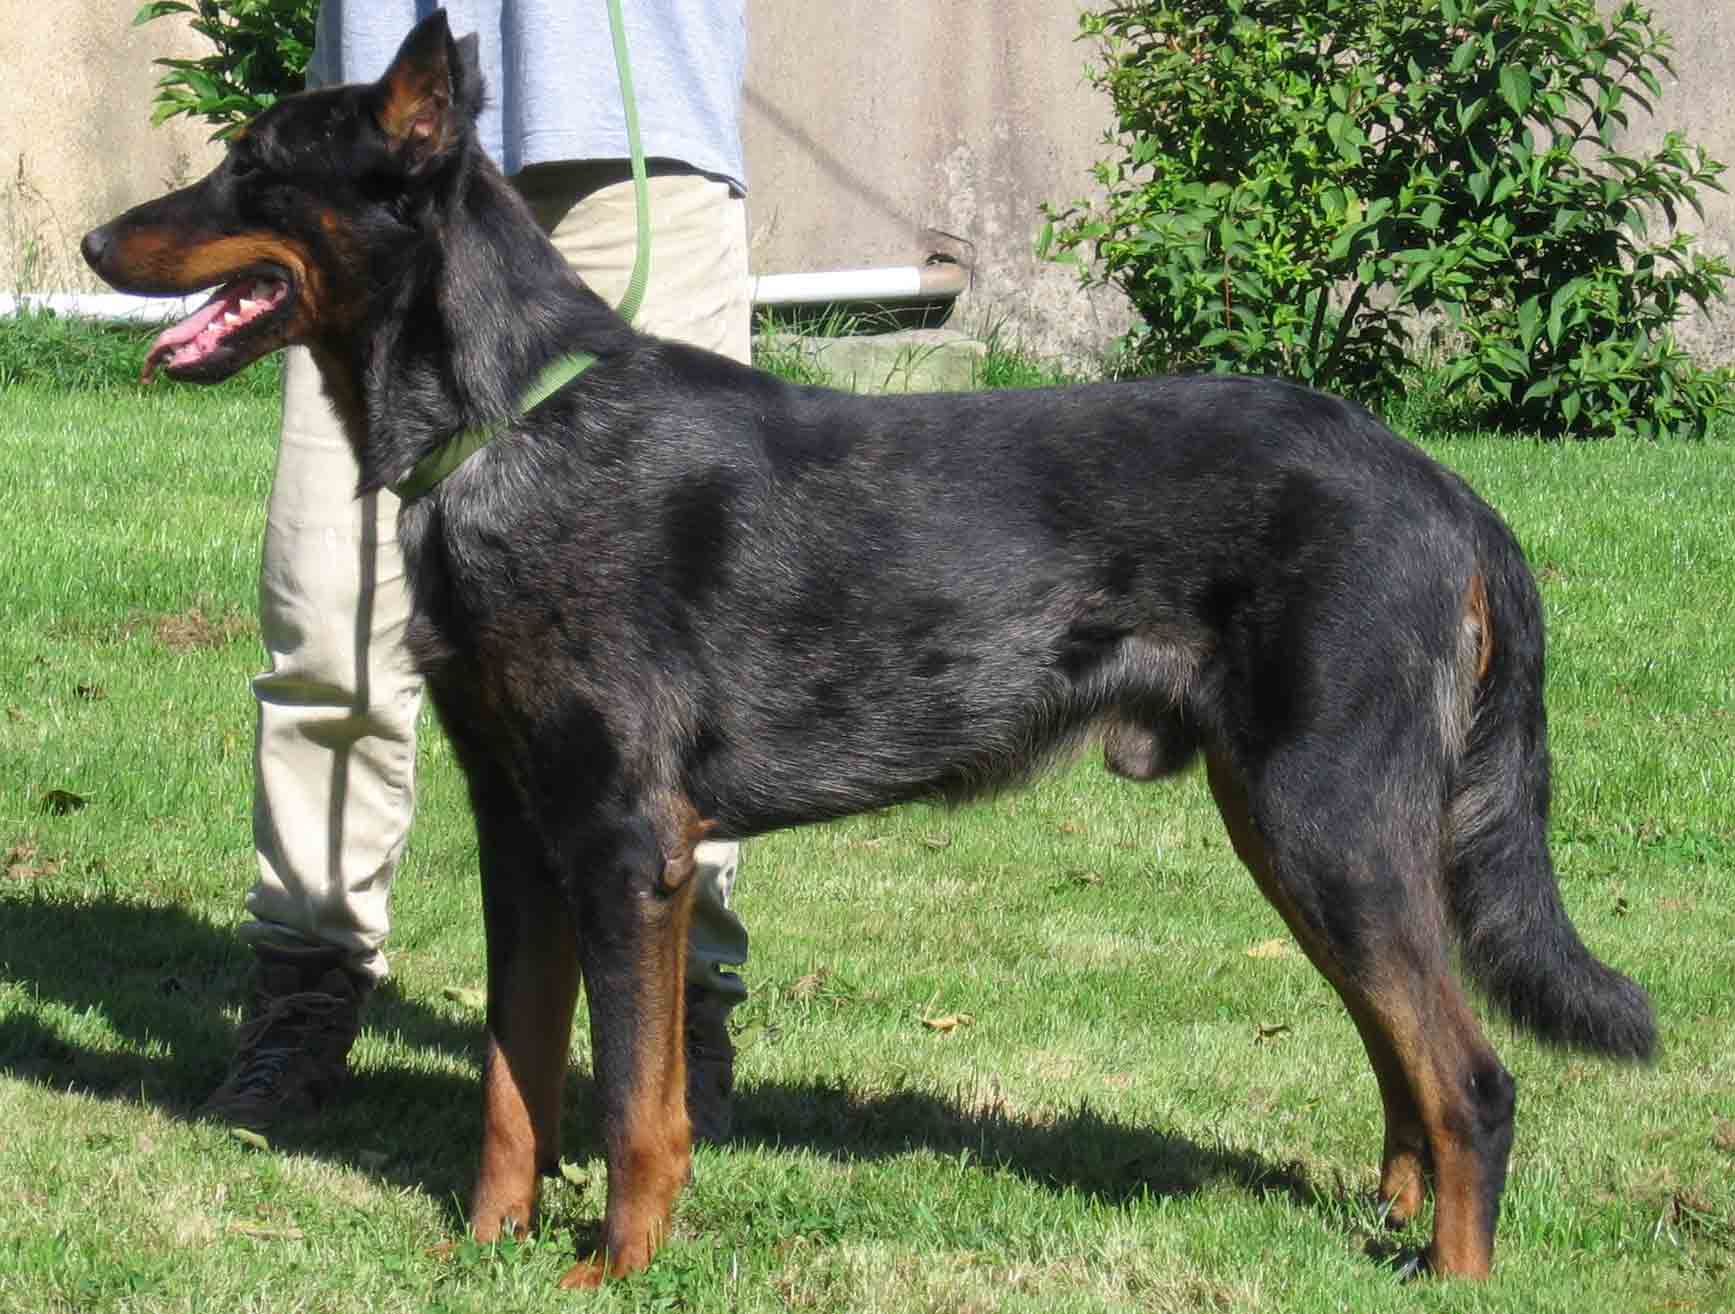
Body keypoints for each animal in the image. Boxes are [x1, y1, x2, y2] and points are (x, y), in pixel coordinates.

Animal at [84, 10, 1651, 1284]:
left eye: (253, 164)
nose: (94, 248)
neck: (507, 424)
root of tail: (1446, 490)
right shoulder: (520, 835)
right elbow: (512, 1085)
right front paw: (484, 1252)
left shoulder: (623, 846)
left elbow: (632, 1101)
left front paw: (617, 1269)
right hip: (1297, 830)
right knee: (1405, 1059)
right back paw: (1391, 1226)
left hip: (1322, 820)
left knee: (1469, 1079)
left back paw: (1449, 1275)